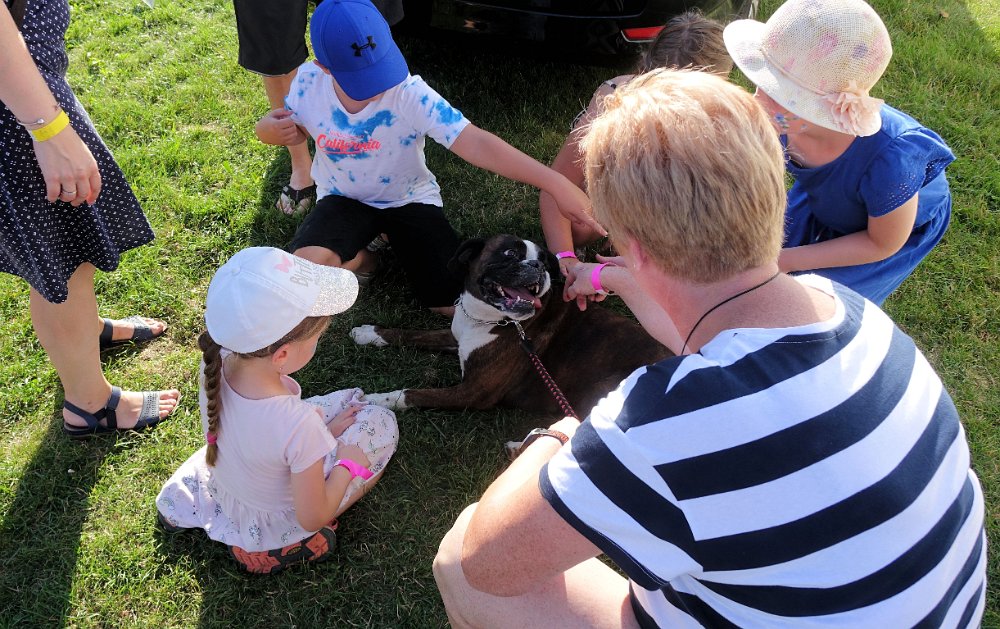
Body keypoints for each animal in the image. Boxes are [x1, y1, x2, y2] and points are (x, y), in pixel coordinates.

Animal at [349, 234, 673, 416]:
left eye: (544, 260)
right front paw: (369, 333)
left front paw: (377, 400)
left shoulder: (473, 393)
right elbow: (411, 333)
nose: (539, 266)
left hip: (607, 389)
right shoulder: (456, 338)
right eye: (510, 254)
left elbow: (411, 393)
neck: (489, 318)